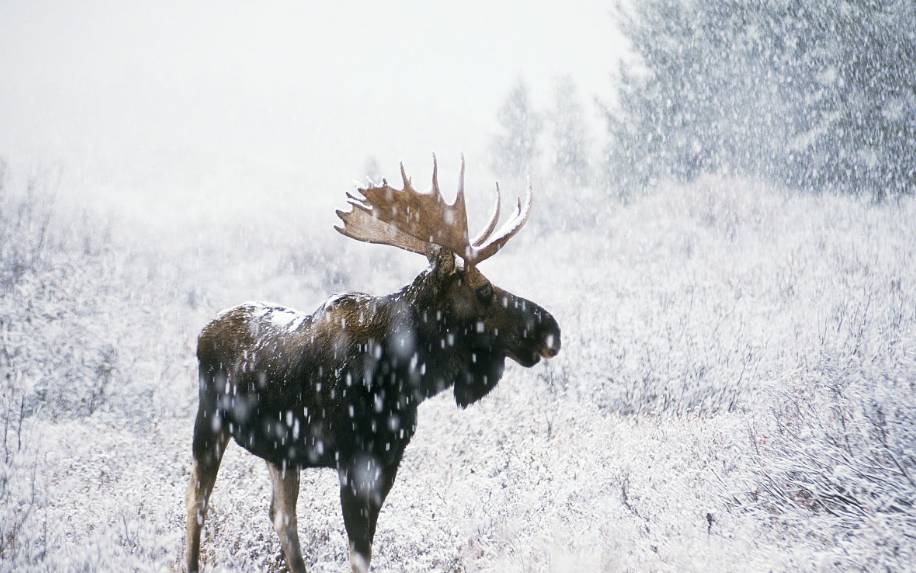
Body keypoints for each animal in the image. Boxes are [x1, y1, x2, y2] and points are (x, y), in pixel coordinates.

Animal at [184, 158, 560, 572]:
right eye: (484, 290)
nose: (550, 328)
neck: (403, 374)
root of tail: (202, 332)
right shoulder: (353, 458)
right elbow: (359, 551)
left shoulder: (389, 457)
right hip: (209, 423)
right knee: (196, 501)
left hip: (280, 453)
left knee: (282, 517)